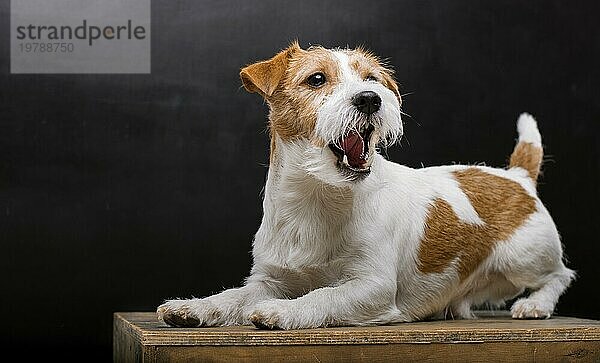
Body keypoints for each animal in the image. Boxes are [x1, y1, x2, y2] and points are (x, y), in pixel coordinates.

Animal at [157, 42, 576, 330]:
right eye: (316, 79)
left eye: (372, 79)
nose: (371, 99)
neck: (317, 197)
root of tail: (517, 176)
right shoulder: (270, 279)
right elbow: (233, 296)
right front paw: (194, 306)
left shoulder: (371, 287)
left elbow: (324, 294)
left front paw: (285, 310)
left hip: (526, 256)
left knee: (558, 276)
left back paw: (535, 305)